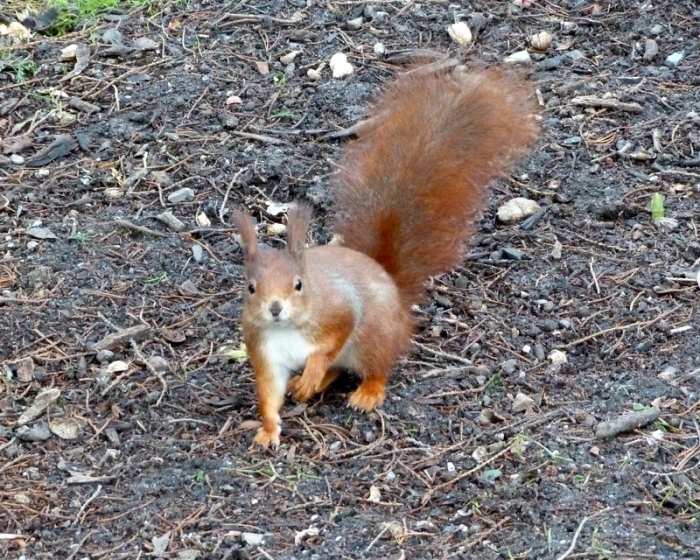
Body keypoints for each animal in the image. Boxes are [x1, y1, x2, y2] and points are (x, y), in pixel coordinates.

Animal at [232, 65, 539, 448]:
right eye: (251, 287)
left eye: (299, 284)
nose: (275, 308)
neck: (286, 328)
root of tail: (394, 296)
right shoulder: (263, 350)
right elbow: (268, 392)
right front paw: (269, 428)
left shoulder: (338, 312)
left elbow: (331, 344)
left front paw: (313, 371)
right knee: (339, 369)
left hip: (373, 337)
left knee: (374, 366)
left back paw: (362, 391)